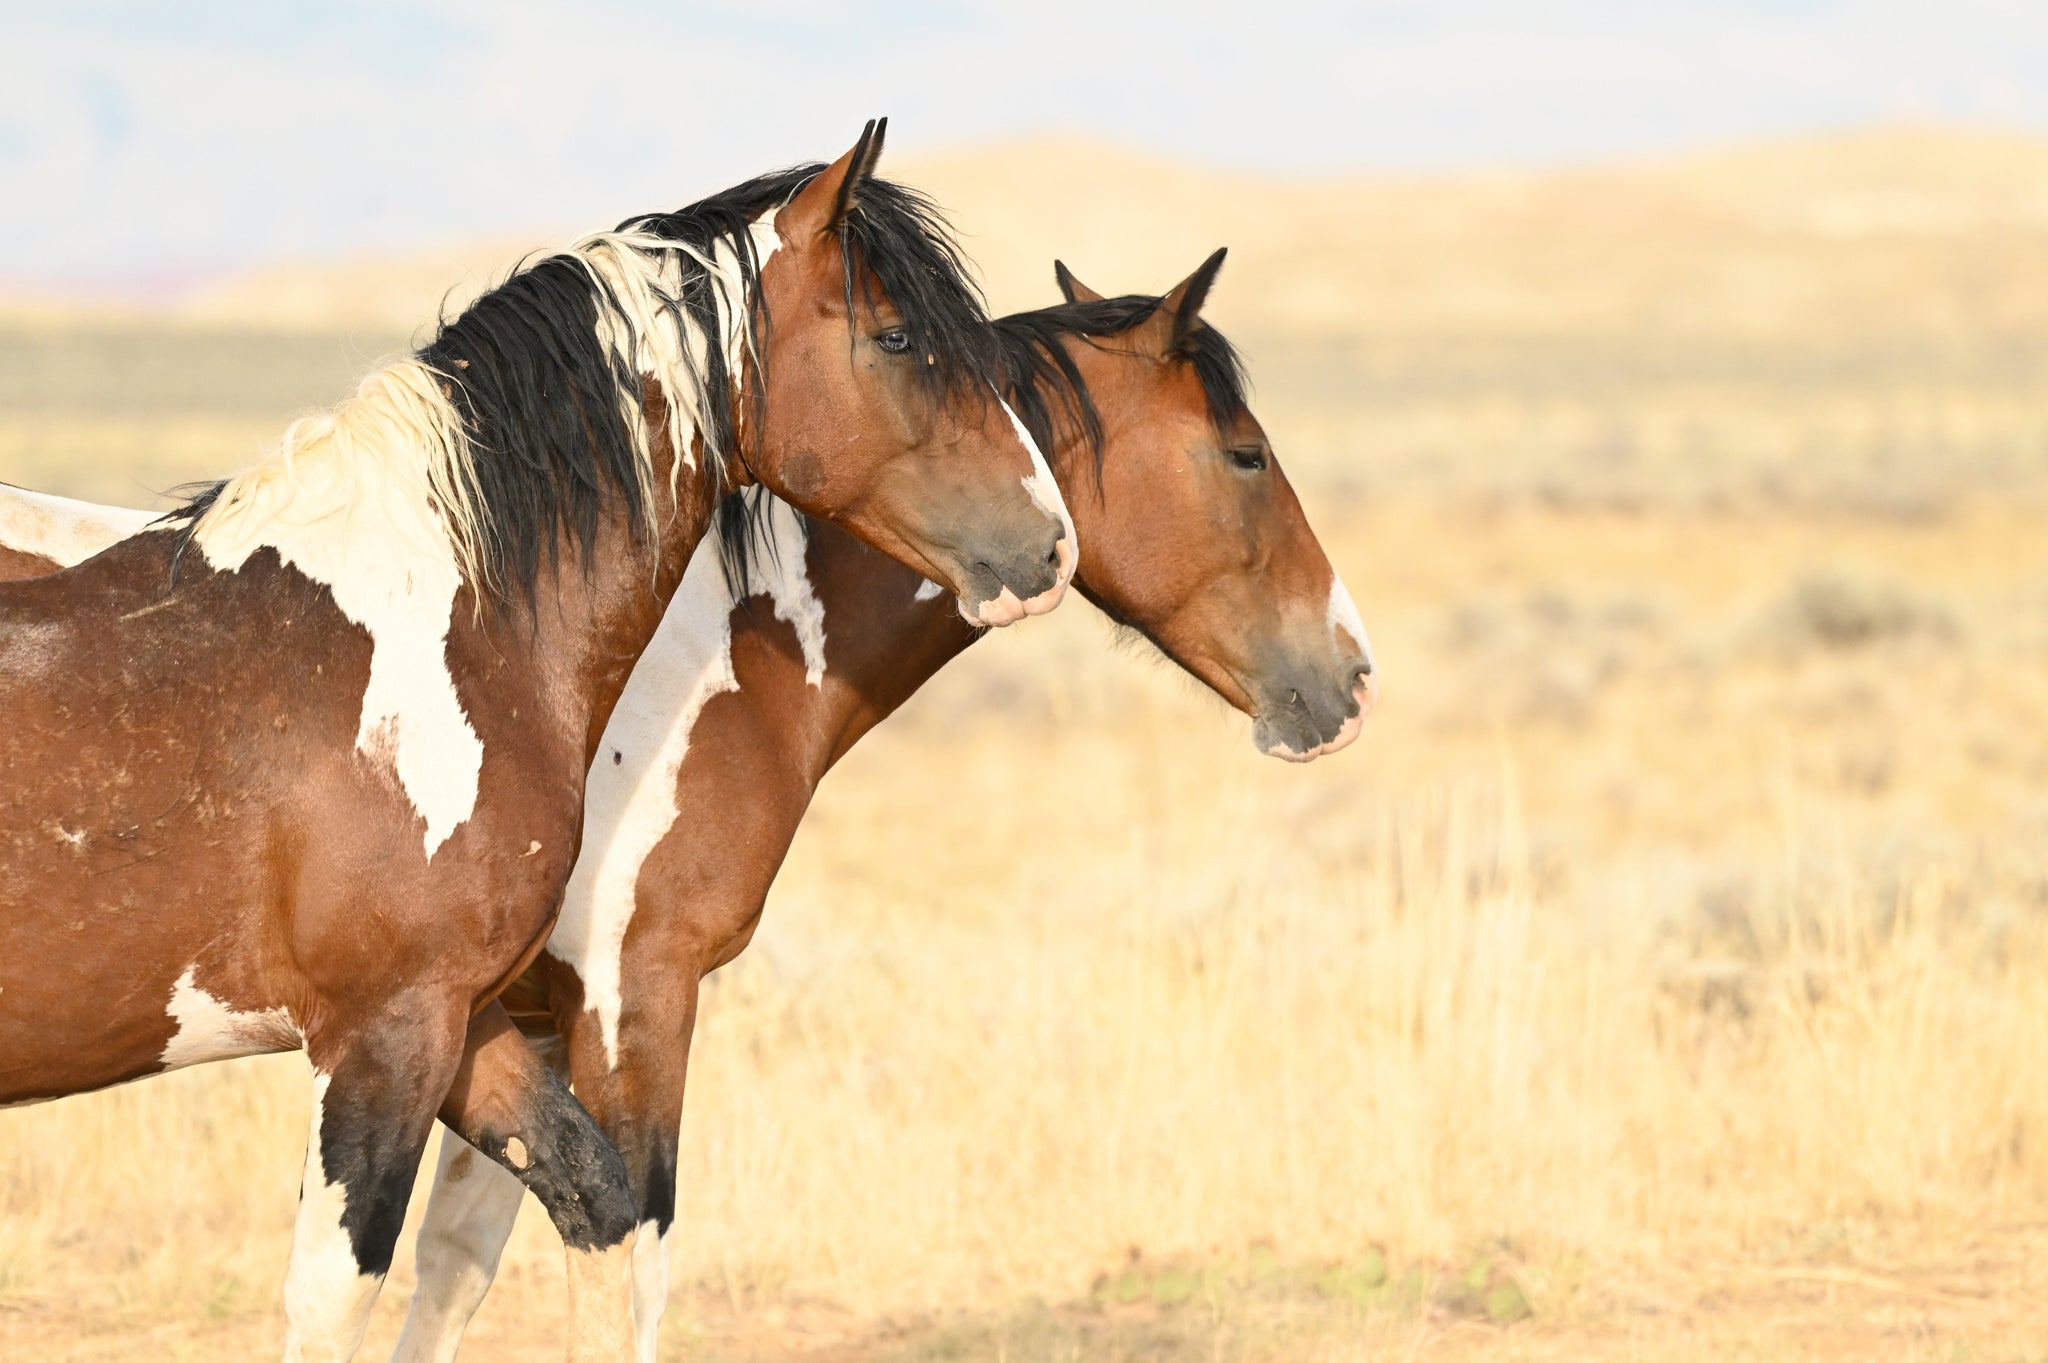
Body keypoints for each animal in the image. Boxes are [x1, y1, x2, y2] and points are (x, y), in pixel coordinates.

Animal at [0, 120, 1075, 1363]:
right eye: (897, 335)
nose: (1050, 544)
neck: (445, 635)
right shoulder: (386, 1033)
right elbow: (340, 1292)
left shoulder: (469, 1024)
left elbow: (590, 1211)